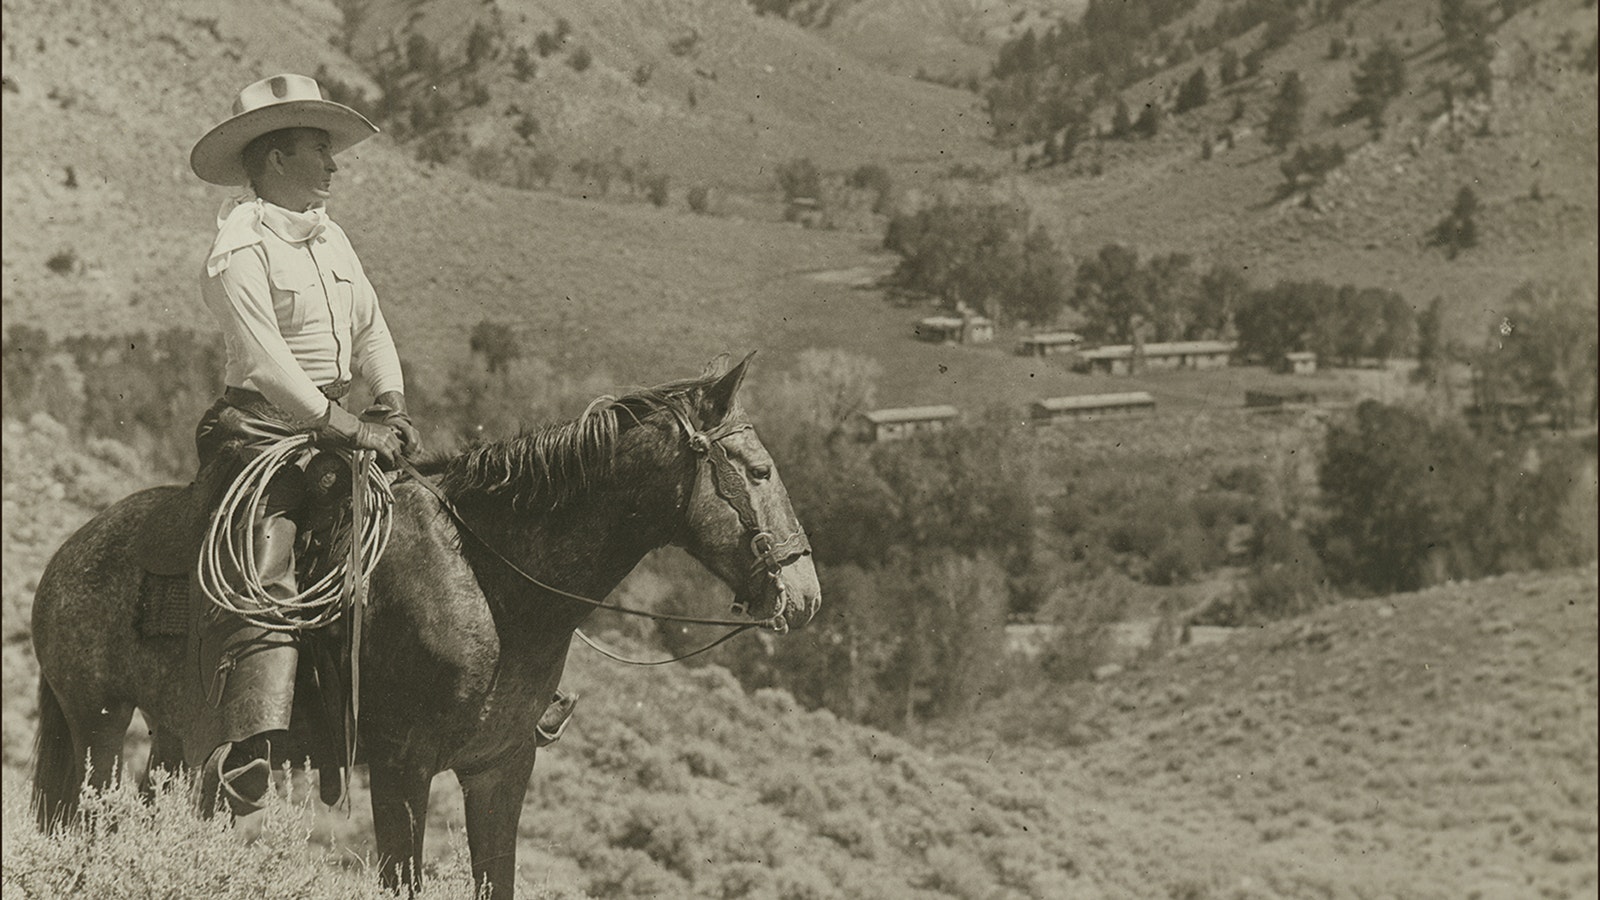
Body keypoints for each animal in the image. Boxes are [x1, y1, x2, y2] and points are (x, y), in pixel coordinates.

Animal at [29, 353, 819, 890]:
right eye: (757, 471)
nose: (805, 594)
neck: (489, 585)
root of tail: (66, 556)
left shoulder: (501, 767)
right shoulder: (402, 766)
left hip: (172, 735)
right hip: (100, 722)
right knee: (88, 819)